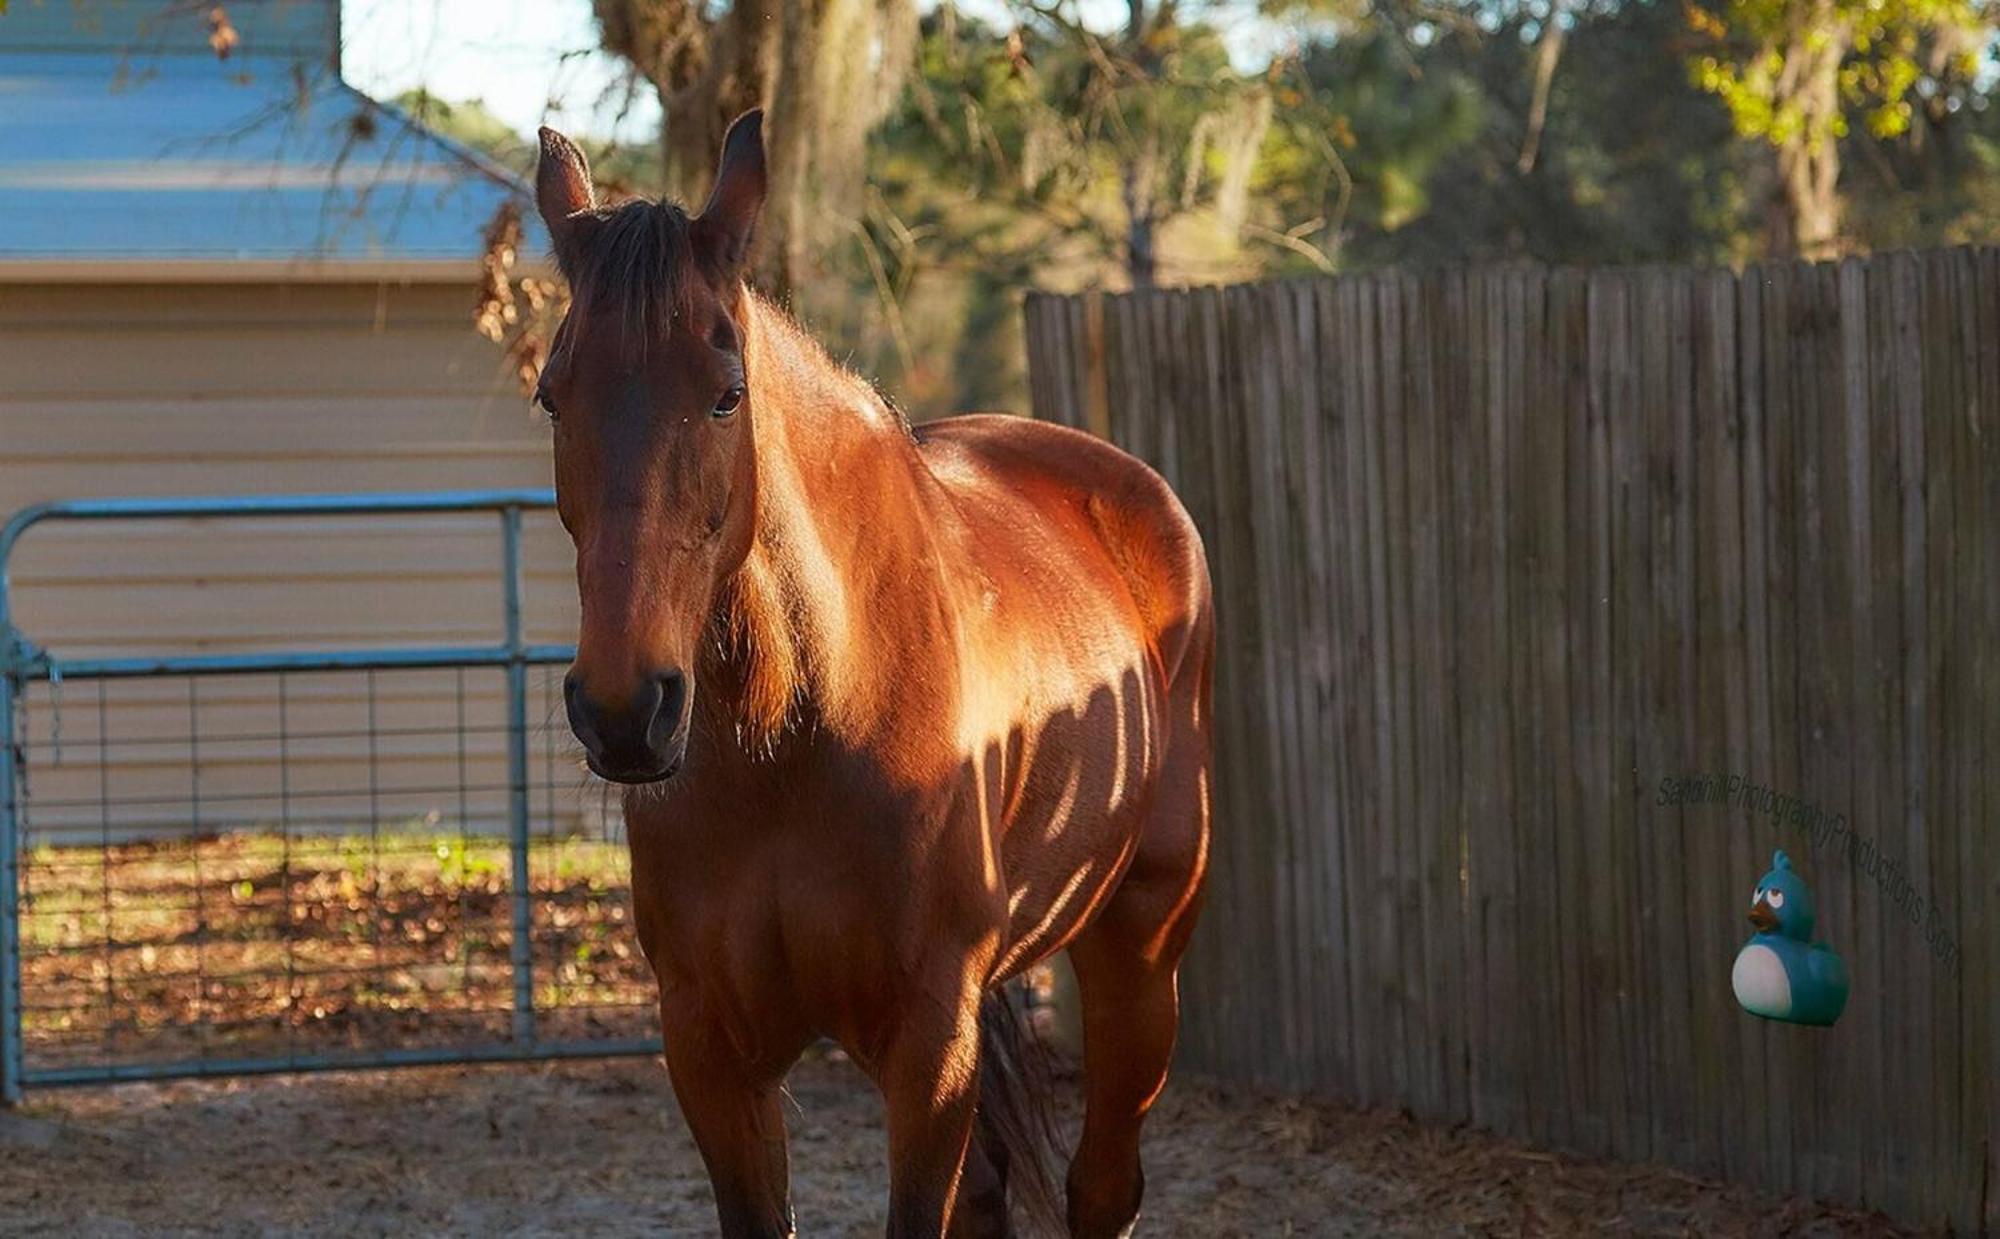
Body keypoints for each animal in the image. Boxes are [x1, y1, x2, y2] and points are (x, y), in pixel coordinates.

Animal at [532, 111, 1208, 1231]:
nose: (625, 710)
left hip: (1139, 955)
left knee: (1103, 1186)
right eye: (552, 397)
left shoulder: (931, 1048)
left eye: (727, 396)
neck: (797, 729)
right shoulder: (710, 1054)